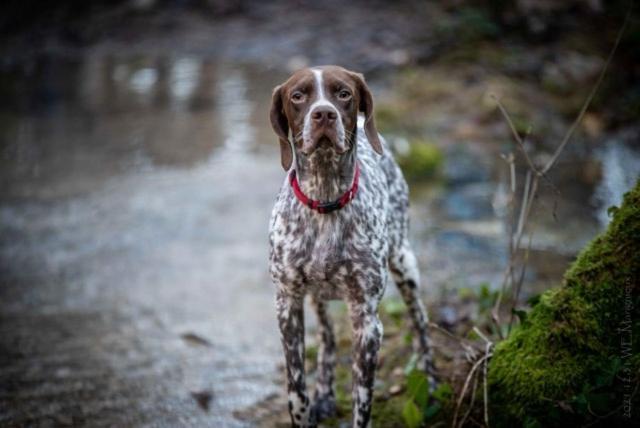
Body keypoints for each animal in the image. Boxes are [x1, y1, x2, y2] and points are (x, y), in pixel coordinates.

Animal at [264, 65, 436, 426]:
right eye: (297, 96)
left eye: (343, 93)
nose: (324, 114)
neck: (325, 199)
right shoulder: (287, 306)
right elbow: (296, 391)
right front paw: (311, 402)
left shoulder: (366, 321)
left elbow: (363, 402)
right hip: (315, 295)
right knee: (328, 336)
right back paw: (325, 394)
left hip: (404, 264)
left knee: (421, 322)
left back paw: (431, 383)